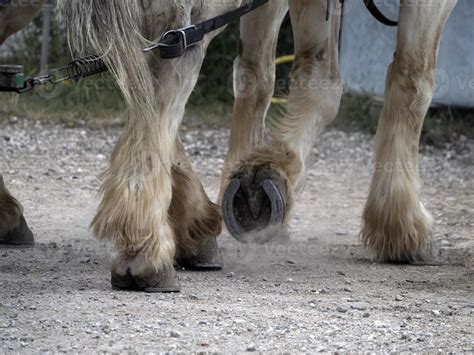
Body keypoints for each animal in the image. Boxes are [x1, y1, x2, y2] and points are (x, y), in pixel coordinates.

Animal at [0, 0, 460, 292]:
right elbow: (413, 76)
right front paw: (402, 225)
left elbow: (272, 73)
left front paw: (254, 181)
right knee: (169, 61)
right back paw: (145, 244)